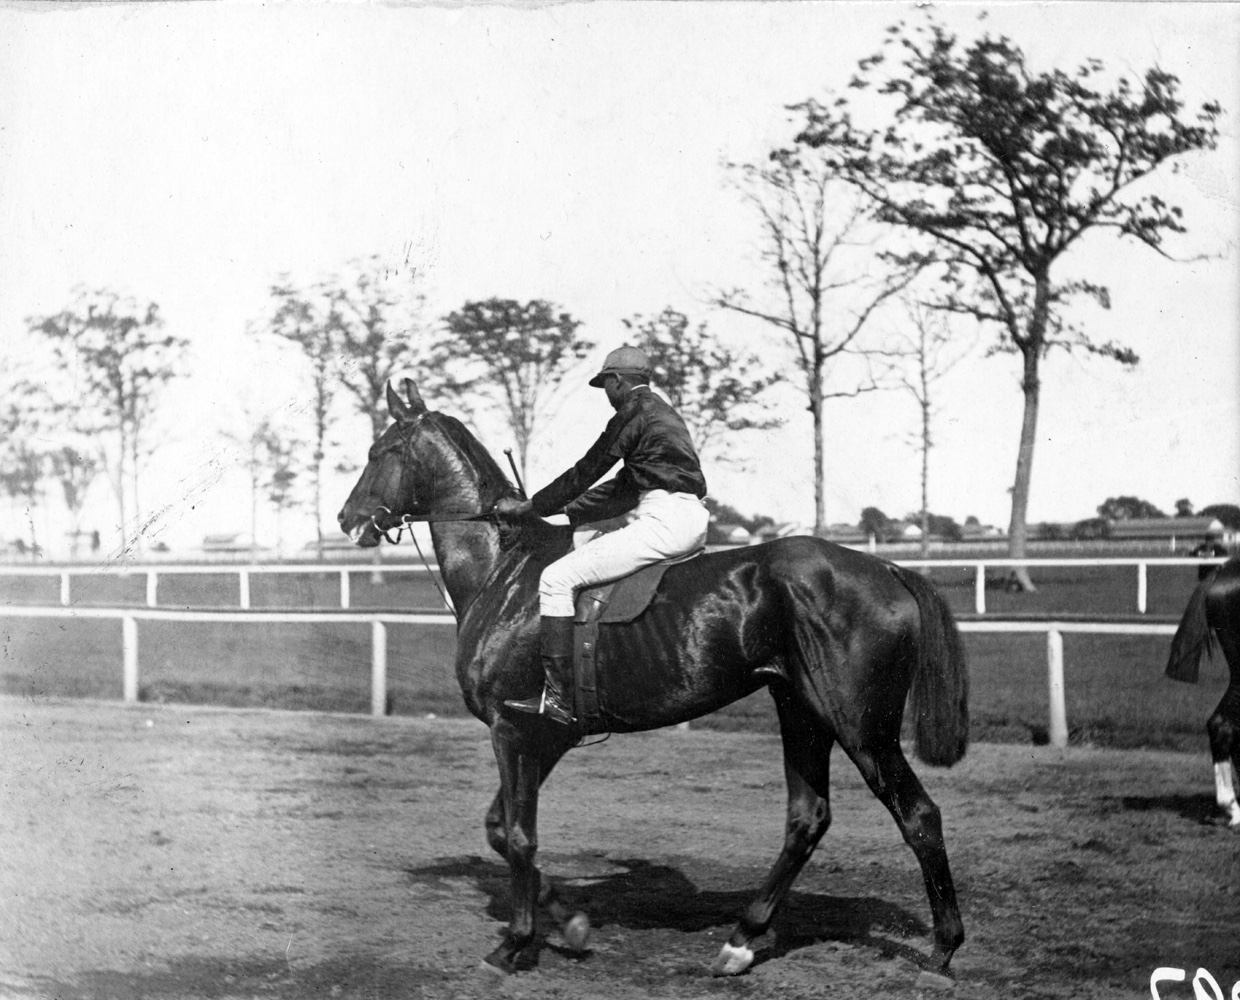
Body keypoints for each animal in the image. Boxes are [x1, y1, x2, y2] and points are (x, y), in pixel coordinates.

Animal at [337, 382, 967, 977]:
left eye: (379, 451)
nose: (348, 519)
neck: (505, 570)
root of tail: (885, 566)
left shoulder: (511, 727)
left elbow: (518, 836)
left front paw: (517, 942)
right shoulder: (547, 734)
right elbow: (500, 829)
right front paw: (568, 923)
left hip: (862, 728)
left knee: (918, 816)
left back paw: (943, 948)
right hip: (800, 711)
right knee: (806, 819)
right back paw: (741, 941)